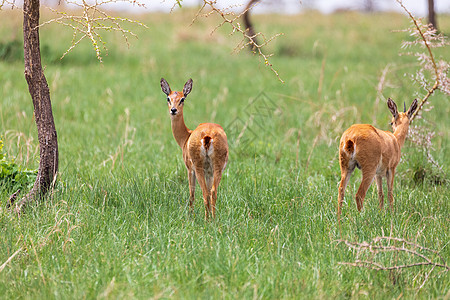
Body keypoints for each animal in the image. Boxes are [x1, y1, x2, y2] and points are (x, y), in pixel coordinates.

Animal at [161, 77, 229, 218]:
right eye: (168, 98)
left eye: (182, 99)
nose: (173, 110)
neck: (186, 137)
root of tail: (207, 135)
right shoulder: (209, 172)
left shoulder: (189, 169)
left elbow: (191, 194)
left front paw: (190, 216)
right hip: (218, 167)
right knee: (213, 192)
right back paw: (214, 219)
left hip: (198, 168)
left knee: (204, 193)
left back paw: (206, 219)